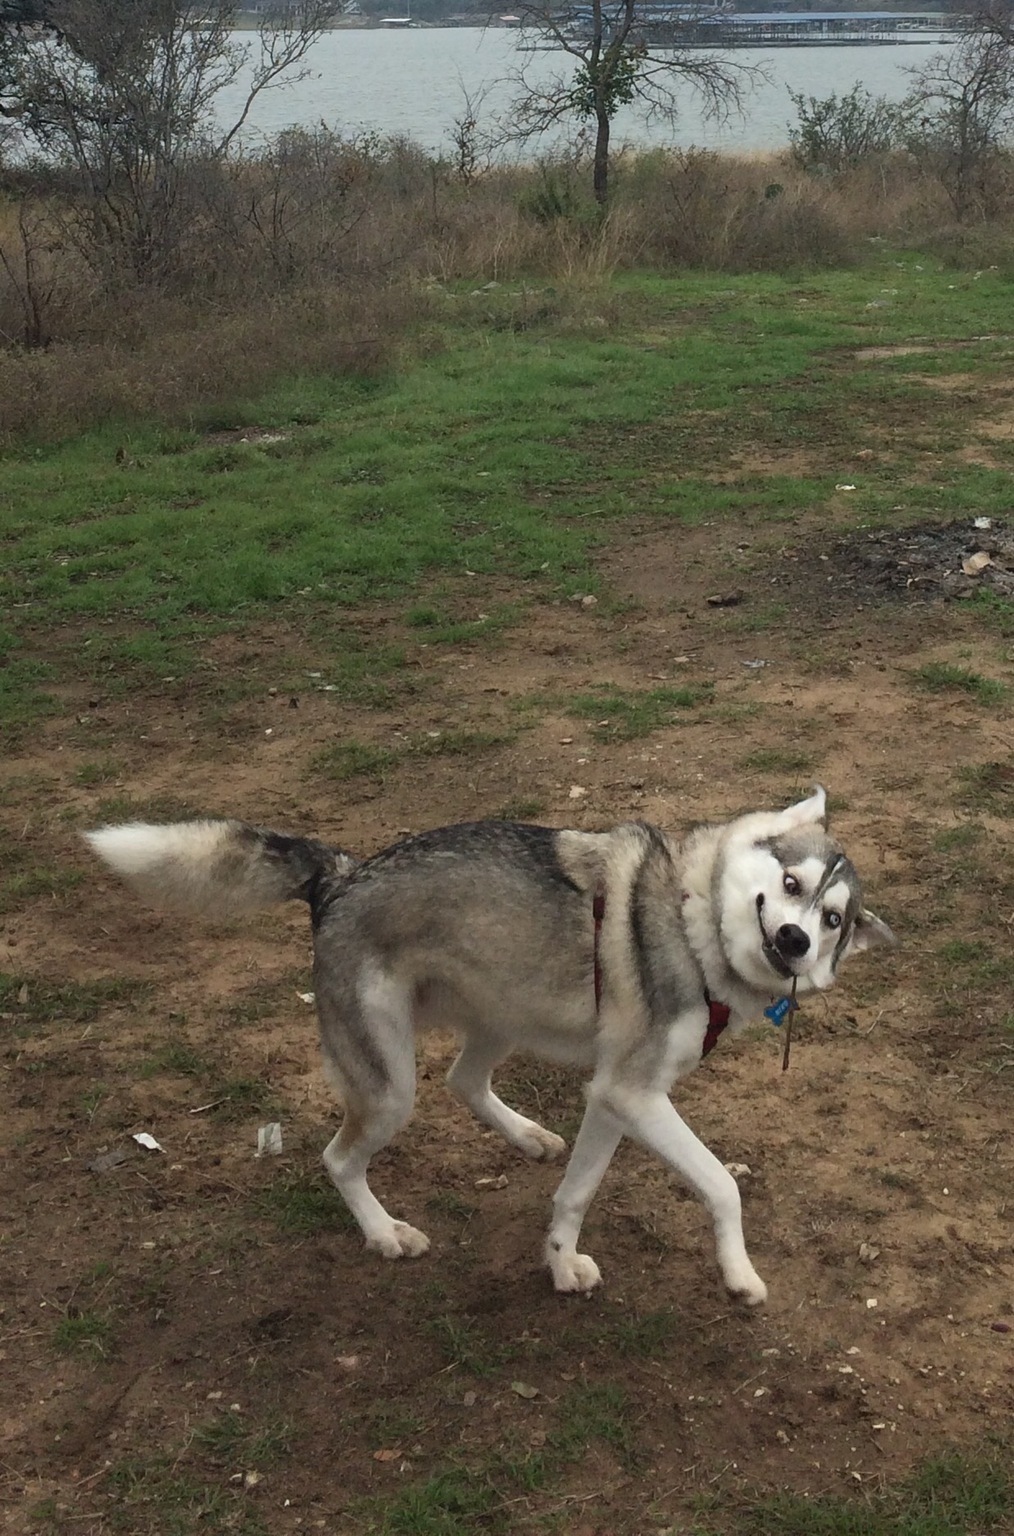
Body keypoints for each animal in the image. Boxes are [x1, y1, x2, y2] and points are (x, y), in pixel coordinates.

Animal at [89, 792, 897, 1308]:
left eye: (832, 919)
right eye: (788, 883)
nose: (794, 939)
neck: (694, 924)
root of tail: (340, 875)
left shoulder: (614, 1099)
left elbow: (575, 1192)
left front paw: (561, 1266)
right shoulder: (635, 1095)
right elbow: (722, 1184)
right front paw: (738, 1275)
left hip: (500, 1016)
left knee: (462, 1081)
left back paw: (527, 1135)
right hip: (390, 1088)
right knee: (340, 1157)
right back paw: (384, 1234)